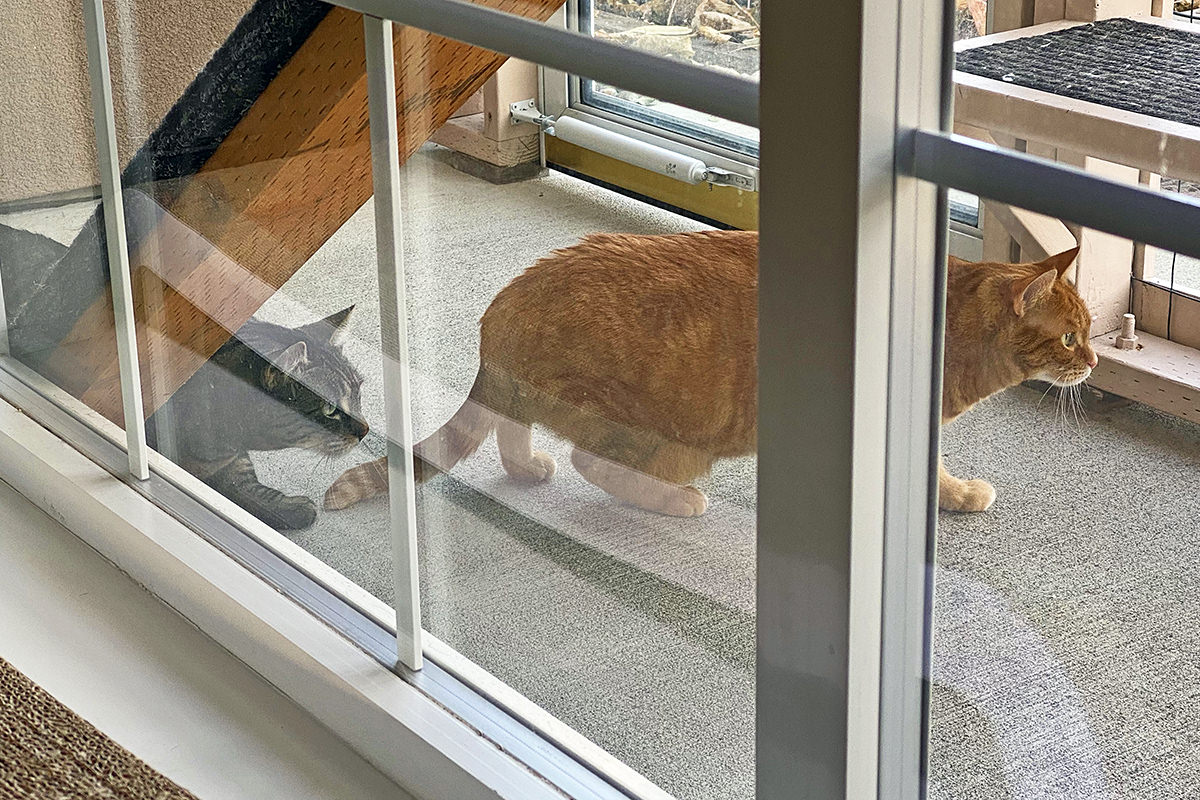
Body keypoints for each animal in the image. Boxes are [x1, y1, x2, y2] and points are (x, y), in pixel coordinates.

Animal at [152, 309, 372, 532]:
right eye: (330, 409)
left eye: (358, 393)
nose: (365, 430)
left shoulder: (234, 459)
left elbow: (244, 481)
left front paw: (286, 508)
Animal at [324, 231, 1094, 520]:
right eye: (1072, 335)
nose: (1092, 361)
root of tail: (505, 308)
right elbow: (932, 479)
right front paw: (959, 495)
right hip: (665, 436)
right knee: (594, 463)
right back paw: (676, 501)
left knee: (516, 434)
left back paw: (527, 468)